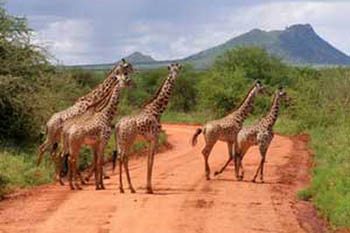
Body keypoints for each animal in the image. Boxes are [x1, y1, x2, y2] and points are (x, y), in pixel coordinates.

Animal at [114, 62, 183, 194]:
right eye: (172, 70)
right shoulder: (154, 138)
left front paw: (148, 187)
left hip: (121, 141)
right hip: (129, 140)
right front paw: (149, 188)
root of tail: (118, 125)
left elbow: (148, 161)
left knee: (120, 157)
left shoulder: (149, 139)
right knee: (124, 157)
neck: (157, 109)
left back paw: (121, 188)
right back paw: (131, 187)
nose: (174, 77)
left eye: (178, 69)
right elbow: (151, 161)